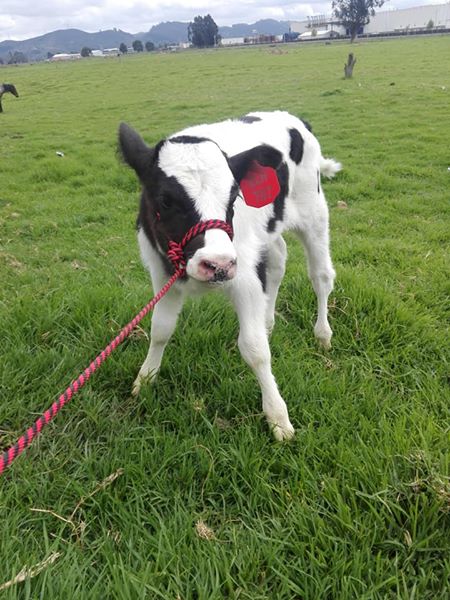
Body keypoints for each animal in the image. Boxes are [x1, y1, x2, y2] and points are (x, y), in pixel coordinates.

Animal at [119, 111, 342, 440]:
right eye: (166, 200)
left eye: (235, 194)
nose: (218, 264)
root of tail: (291, 117)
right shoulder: (162, 275)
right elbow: (160, 329)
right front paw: (145, 379)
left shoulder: (244, 274)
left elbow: (255, 349)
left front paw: (277, 416)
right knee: (278, 260)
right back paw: (268, 322)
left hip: (314, 212)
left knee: (321, 276)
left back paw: (322, 334)